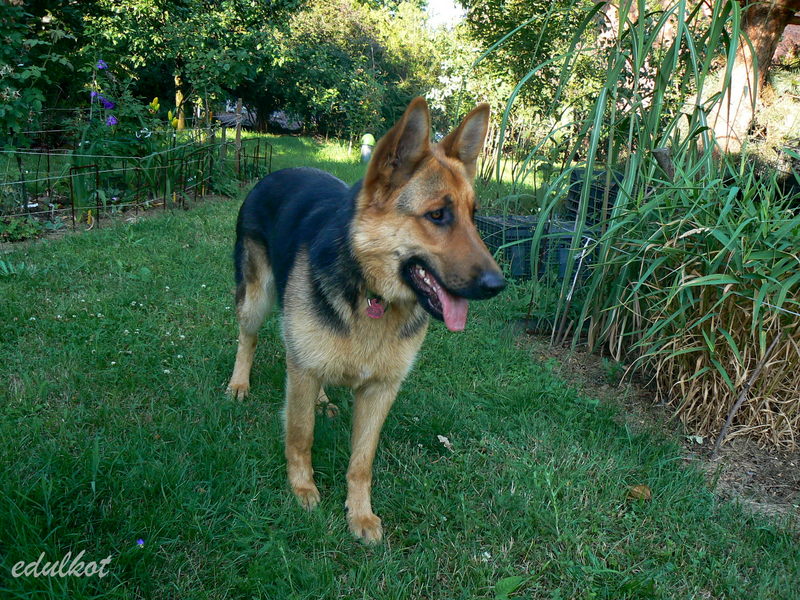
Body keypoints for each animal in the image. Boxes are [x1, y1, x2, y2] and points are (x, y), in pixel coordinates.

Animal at [226, 97, 506, 543]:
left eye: (473, 216)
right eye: (438, 215)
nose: (499, 285)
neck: (373, 295)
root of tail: (276, 172)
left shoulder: (380, 391)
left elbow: (362, 460)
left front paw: (359, 514)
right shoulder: (303, 372)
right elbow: (300, 435)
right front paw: (302, 489)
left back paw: (322, 399)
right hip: (256, 299)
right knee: (247, 338)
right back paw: (239, 383)